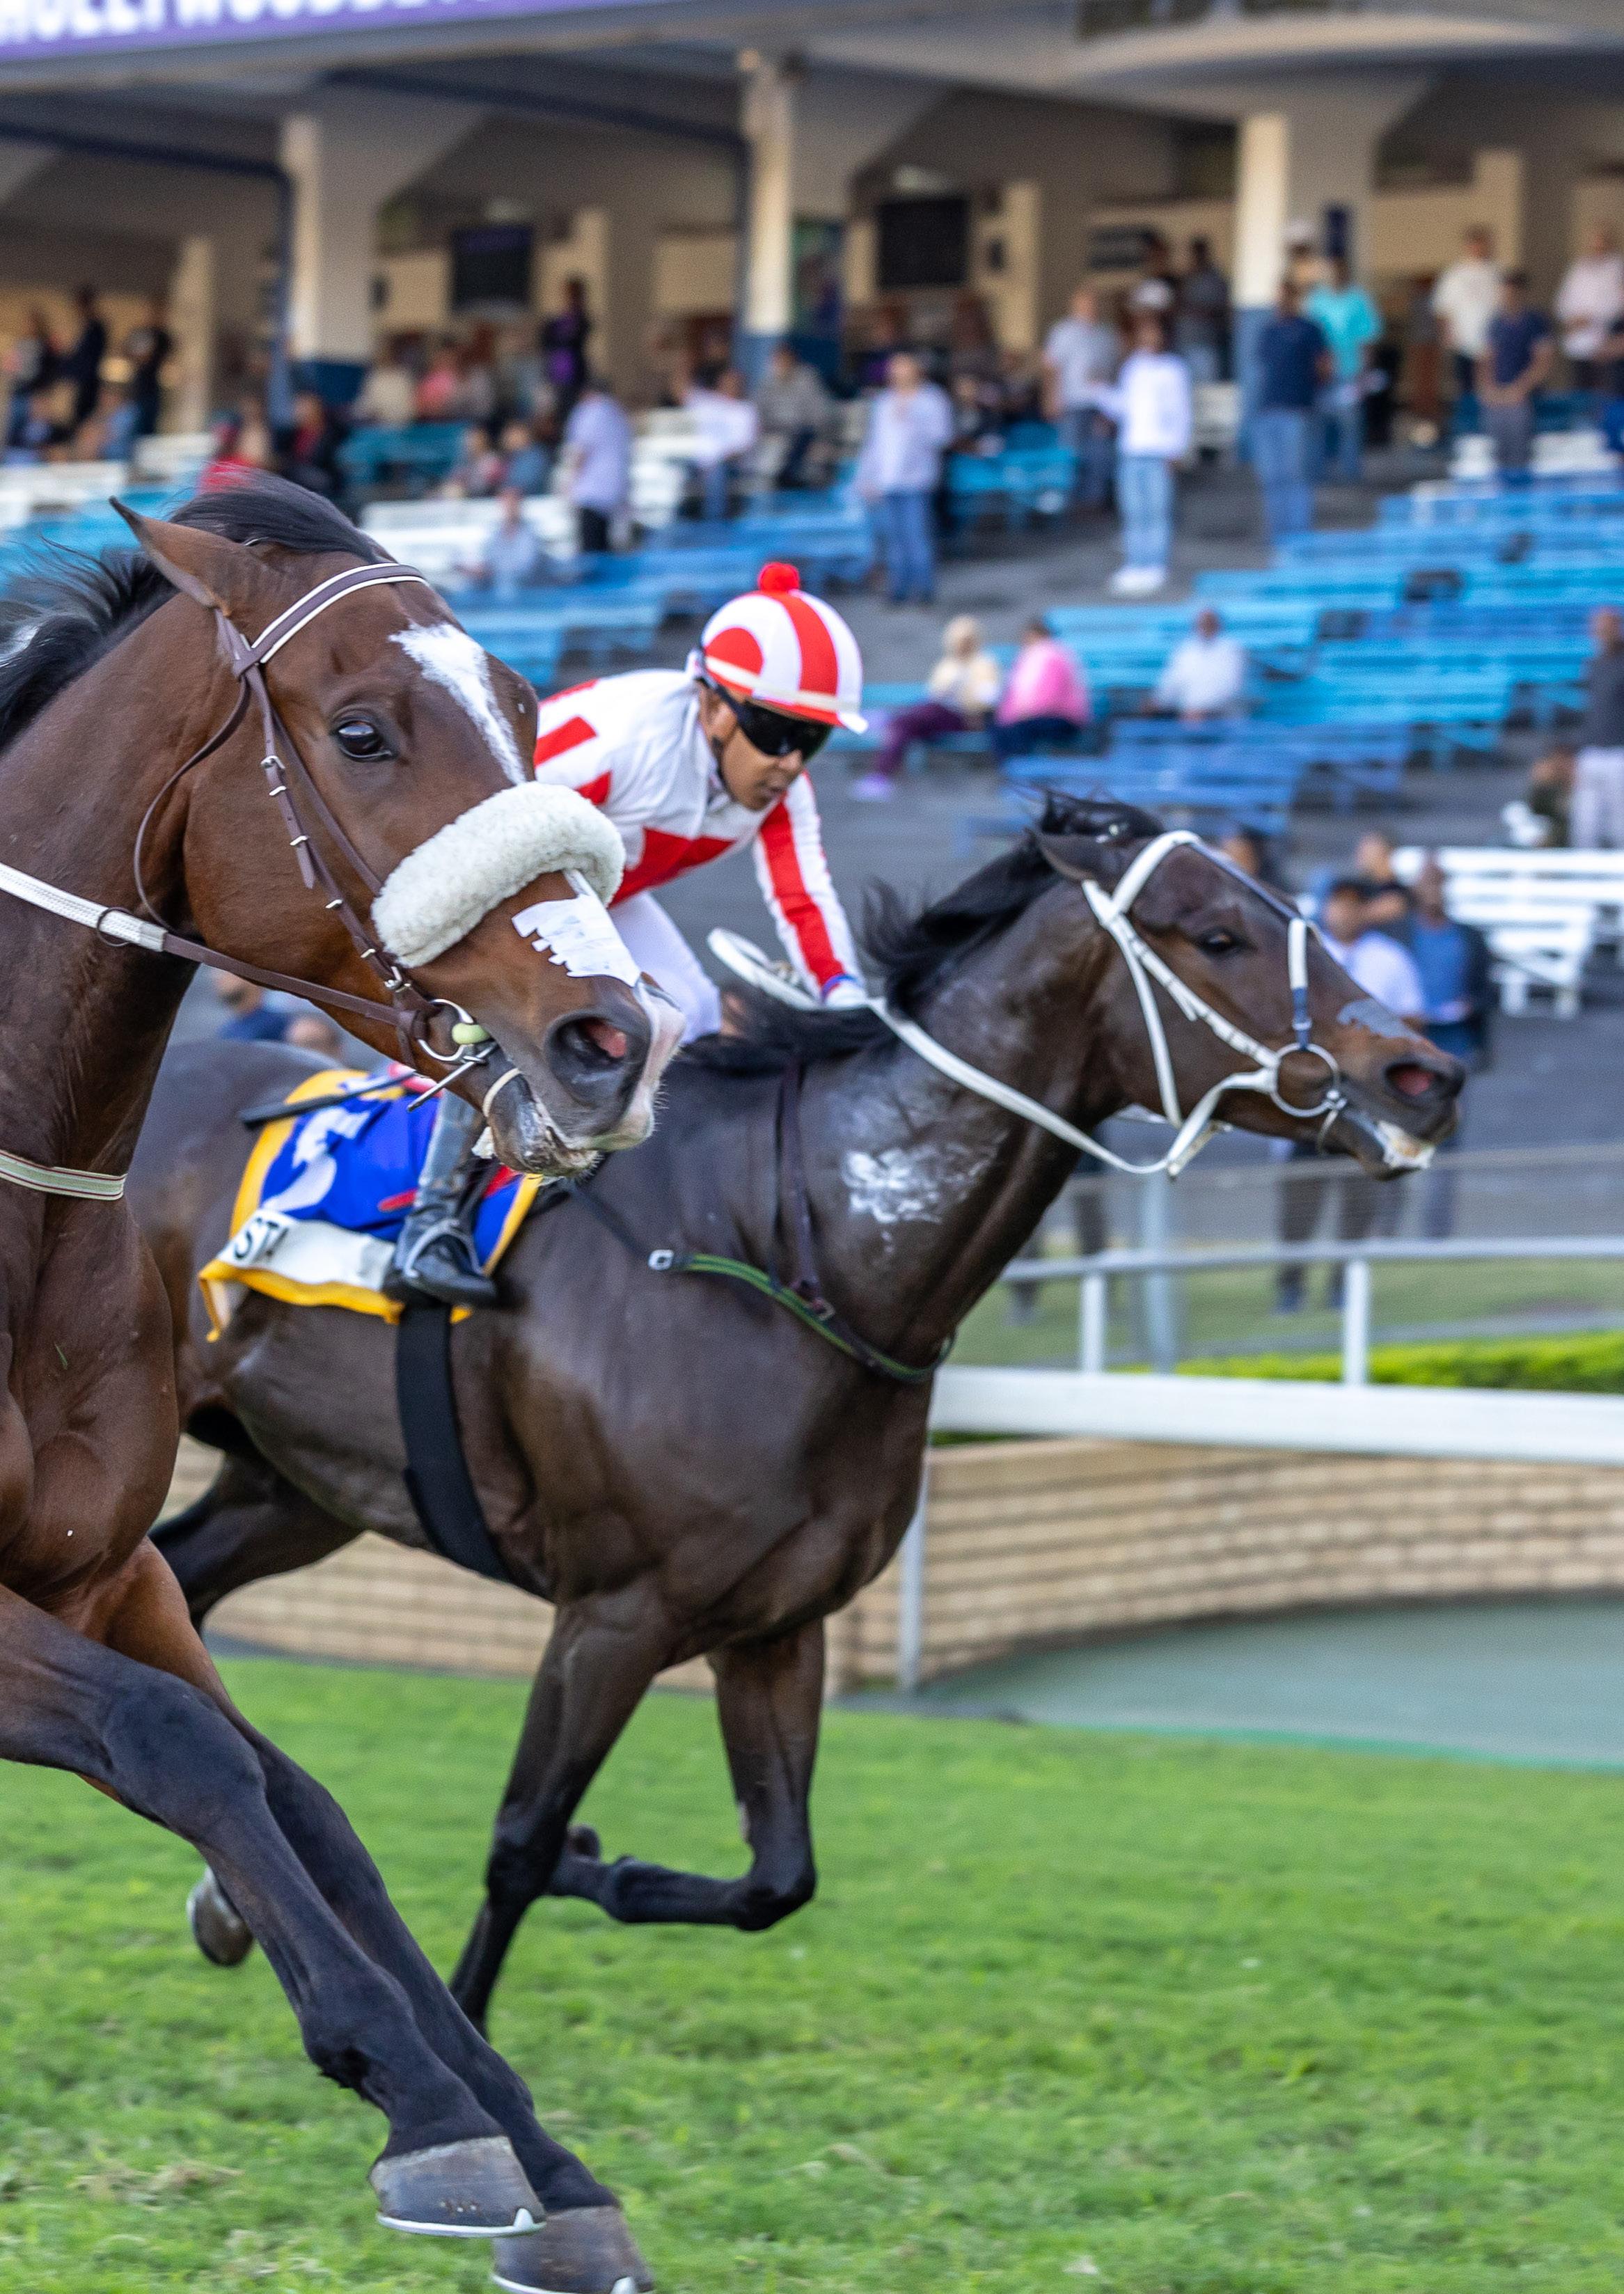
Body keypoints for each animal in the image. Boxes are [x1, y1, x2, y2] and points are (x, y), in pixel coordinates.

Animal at [0, 474, 674, 2294]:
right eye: (363, 729)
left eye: (525, 706)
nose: (610, 1036)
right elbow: (177, 1741)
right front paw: (425, 2105)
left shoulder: (103, 1569)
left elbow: (299, 1798)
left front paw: (527, 2146)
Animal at [141, 795, 1463, 2061]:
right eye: (1217, 933)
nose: (1426, 1078)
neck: (791, 1252)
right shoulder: (613, 1613)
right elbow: (518, 1841)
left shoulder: (777, 1624)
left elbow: (776, 1879)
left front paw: (603, 1864)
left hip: (298, 1486)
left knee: (184, 1591)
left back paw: (226, 1896)